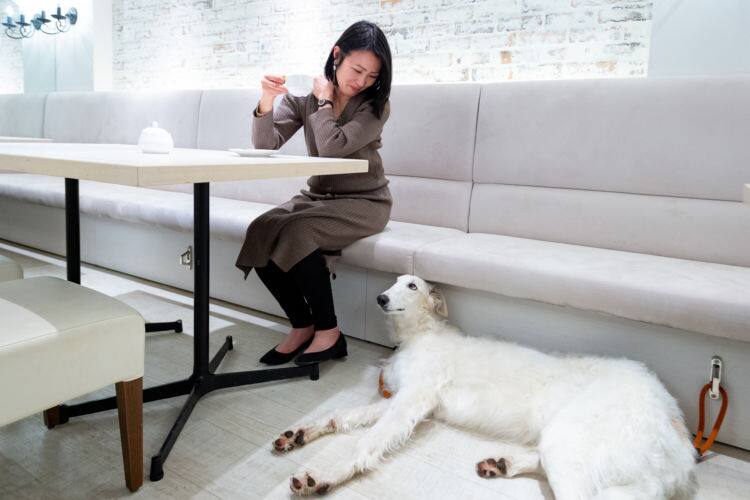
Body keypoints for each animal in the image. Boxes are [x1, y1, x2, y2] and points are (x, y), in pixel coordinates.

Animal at [275, 274, 697, 499]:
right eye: (392, 282)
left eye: (410, 285)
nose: (379, 297)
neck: (421, 336)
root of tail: (673, 418)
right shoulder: (404, 400)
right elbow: (341, 416)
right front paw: (300, 433)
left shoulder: (412, 401)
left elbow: (365, 443)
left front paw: (323, 476)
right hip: (569, 444)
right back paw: (501, 464)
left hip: (572, 441)